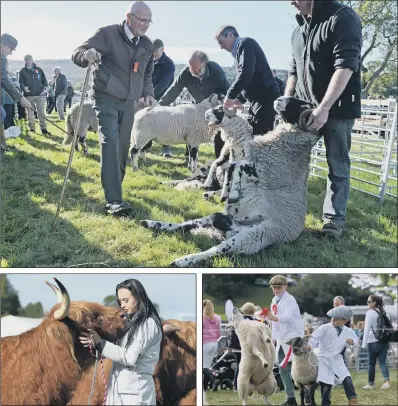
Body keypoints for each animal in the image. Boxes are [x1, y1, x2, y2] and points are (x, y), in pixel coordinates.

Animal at [141, 95, 320, 266]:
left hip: (252, 237)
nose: (279, 99)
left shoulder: (261, 170)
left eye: (304, 105)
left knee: (217, 249)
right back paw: (152, 223)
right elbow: (230, 166)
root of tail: (234, 228)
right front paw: (226, 192)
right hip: (218, 220)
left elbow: (236, 166)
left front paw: (230, 194)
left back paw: (183, 260)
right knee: (186, 225)